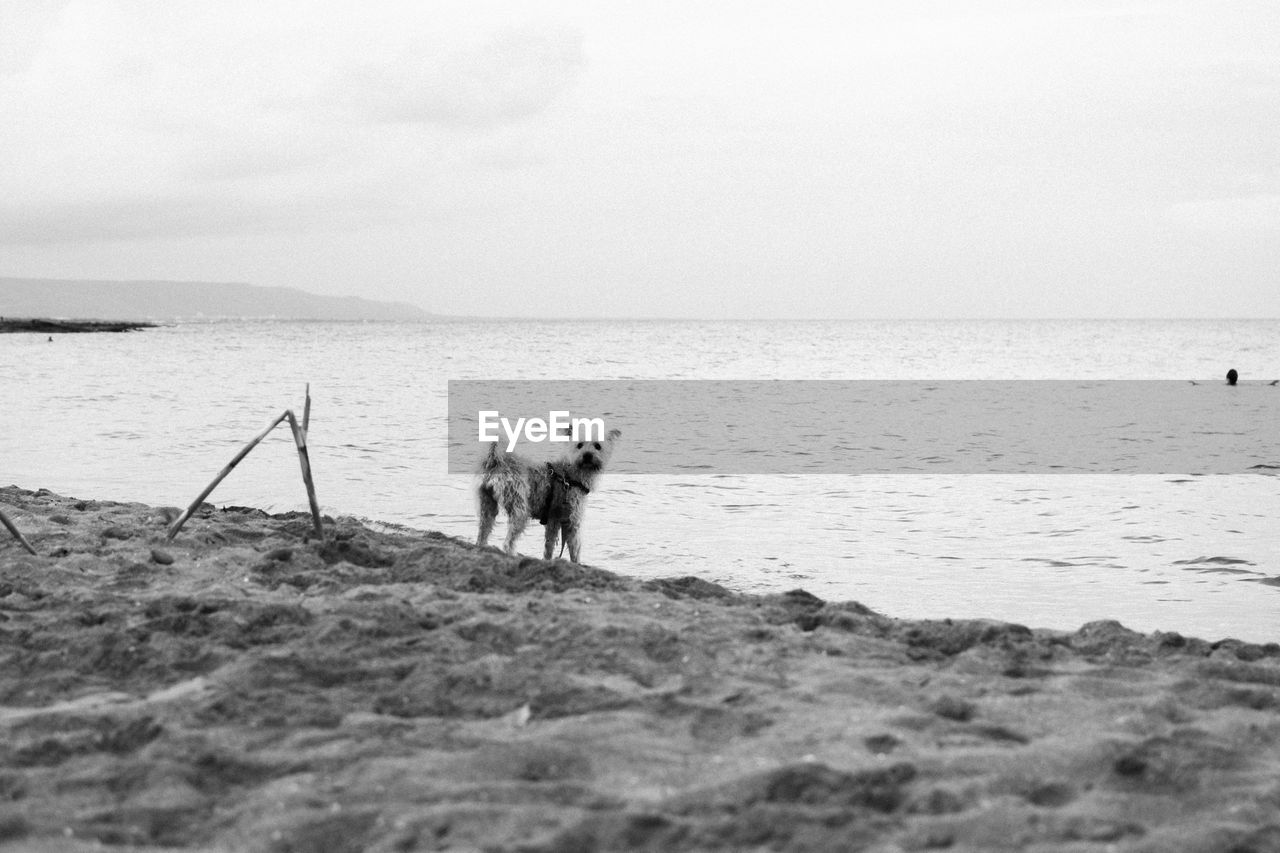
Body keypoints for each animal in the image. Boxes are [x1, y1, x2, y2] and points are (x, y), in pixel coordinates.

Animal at [478, 427, 622, 560]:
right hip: (520, 510)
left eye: (597, 446)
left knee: (482, 535)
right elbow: (575, 550)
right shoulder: (572, 521)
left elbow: (549, 546)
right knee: (508, 543)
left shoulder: (554, 521)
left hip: (487, 506)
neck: (570, 475)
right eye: (579, 445)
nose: (587, 455)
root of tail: (497, 462)